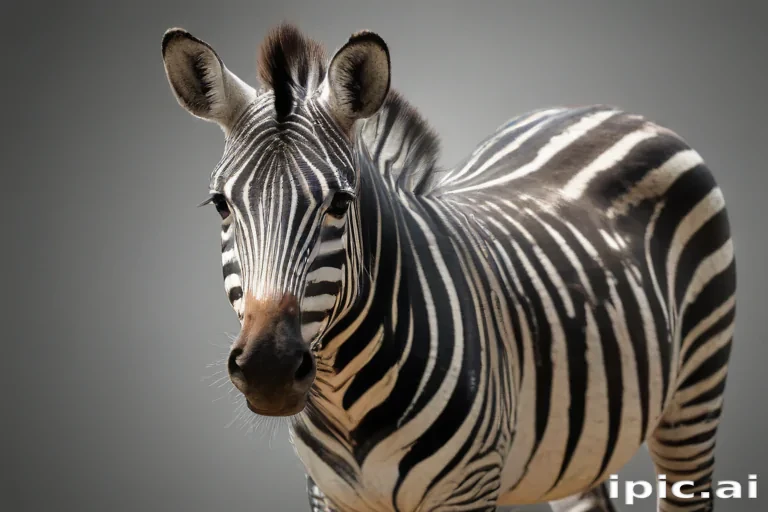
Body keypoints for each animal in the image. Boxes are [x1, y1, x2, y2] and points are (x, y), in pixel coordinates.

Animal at [161, 23, 736, 512]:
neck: (345, 401)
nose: (269, 371)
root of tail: (603, 110)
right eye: (221, 205)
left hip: (694, 397)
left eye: (340, 203)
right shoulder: (327, 494)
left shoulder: (468, 485)